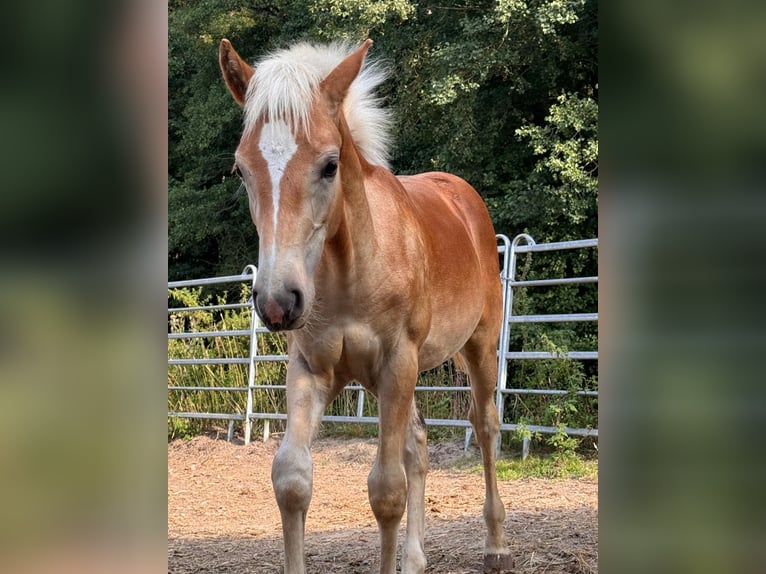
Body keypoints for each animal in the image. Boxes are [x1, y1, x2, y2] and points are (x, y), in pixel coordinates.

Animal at [219, 38, 512, 572]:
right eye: (241, 170)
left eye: (330, 165)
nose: (277, 302)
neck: (350, 270)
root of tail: (462, 196)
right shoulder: (313, 369)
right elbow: (291, 479)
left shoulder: (398, 362)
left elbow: (386, 491)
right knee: (418, 443)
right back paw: (414, 558)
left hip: (477, 347)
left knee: (484, 428)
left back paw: (496, 545)